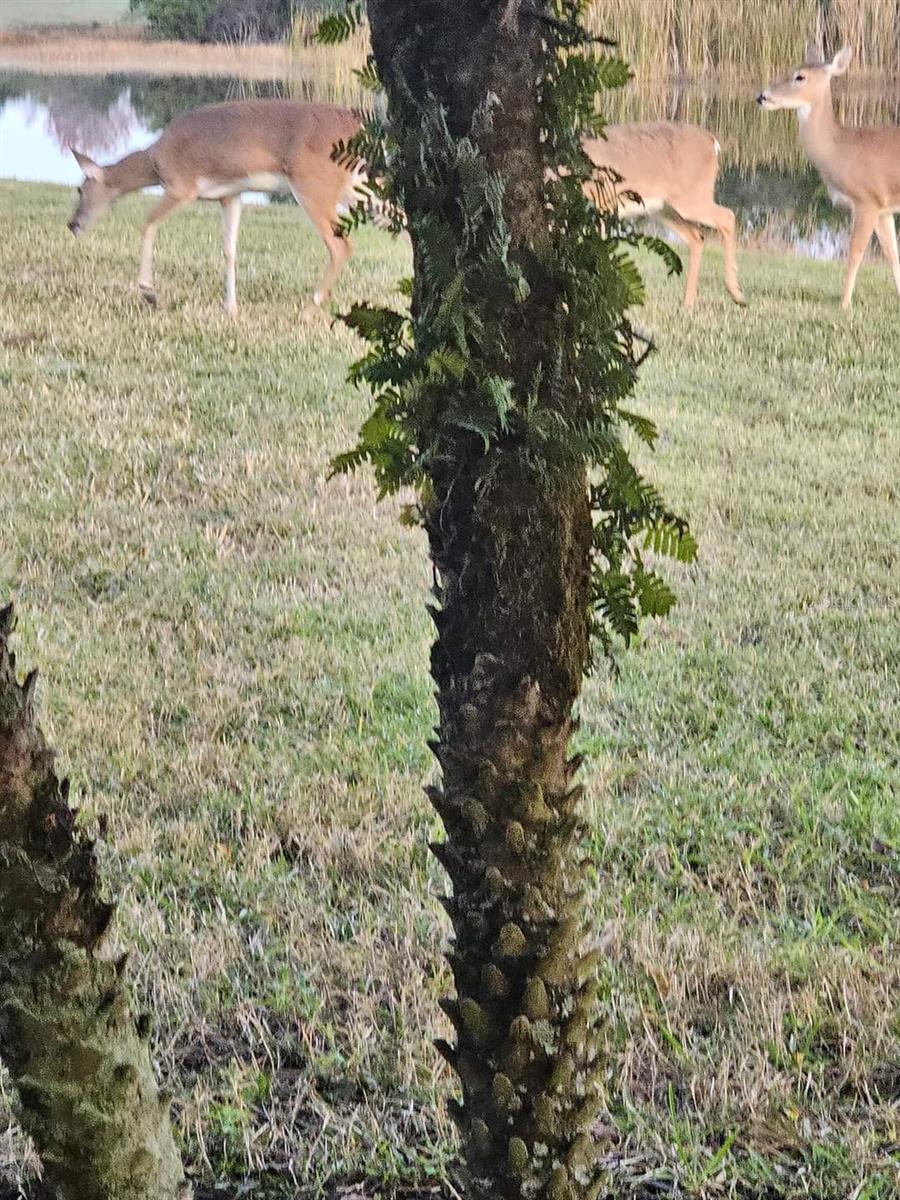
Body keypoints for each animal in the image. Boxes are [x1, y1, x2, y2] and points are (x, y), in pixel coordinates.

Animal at [66, 100, 369, 314]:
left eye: (80, 188)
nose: (72, 224)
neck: (155, 160)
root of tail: (358, 128)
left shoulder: (181, 186)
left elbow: (147, 223)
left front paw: (148, 292)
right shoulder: (230, 195)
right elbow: (229, 250)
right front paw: (231, 308)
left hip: (314, 186)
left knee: (341, 246)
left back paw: (307, 309)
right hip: (359, 188)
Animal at [580, 121, 748, 307]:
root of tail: (712, 141)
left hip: (690, 197)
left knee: (727, 216)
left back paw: (737, 295)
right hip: (664, 207)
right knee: (697, 236)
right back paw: (687, 303)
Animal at [763, 46, 900, 309]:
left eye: (800, 76)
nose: (762, 96)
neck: (839, 150)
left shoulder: (867, 199)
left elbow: (855, 253)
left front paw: (844, 304)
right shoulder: (884, 207)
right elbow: (892, 253)